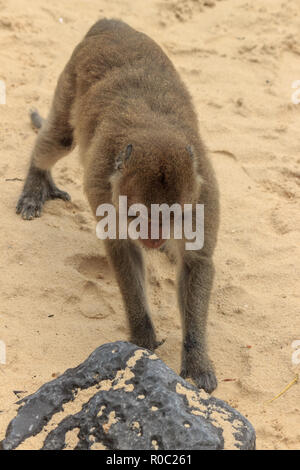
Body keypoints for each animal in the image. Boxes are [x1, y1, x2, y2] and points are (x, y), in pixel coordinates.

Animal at [16, 18, 219, 392]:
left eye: (173, 217)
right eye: (137, 215)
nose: (153, 238)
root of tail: (110, 23)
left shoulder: (205, 196)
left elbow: (196, 262)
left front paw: (196, 356)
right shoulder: (102, 185)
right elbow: (122, 249)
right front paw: (142, 338)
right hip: (71, 76)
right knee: (60, 138)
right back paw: (38, 177)